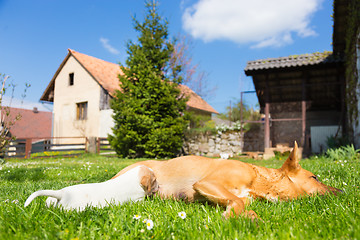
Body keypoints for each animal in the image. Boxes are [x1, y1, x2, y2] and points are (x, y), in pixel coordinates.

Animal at [112, 142, 340, 219]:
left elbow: (241, 204)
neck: (259, 181)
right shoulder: (207, 183)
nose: (342, 192)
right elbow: (237, 201)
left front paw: (249, 216)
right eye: (314, 177)